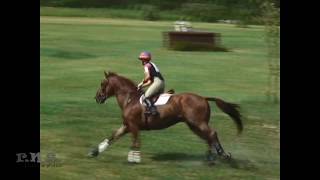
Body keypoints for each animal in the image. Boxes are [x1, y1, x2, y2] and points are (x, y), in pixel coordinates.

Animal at [87, 71, 242, 163]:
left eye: (102, 83)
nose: (97, 98)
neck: (129, 99)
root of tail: (203, 98)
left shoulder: (133, 126)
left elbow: (135, 142)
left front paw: (134, 159)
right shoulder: (127, 126)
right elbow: (113, 137)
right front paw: (94, 152)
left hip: (197, 122)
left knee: (212, 133)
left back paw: (222, 154)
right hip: (193, 125)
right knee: (207, 137)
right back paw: (210, 157)